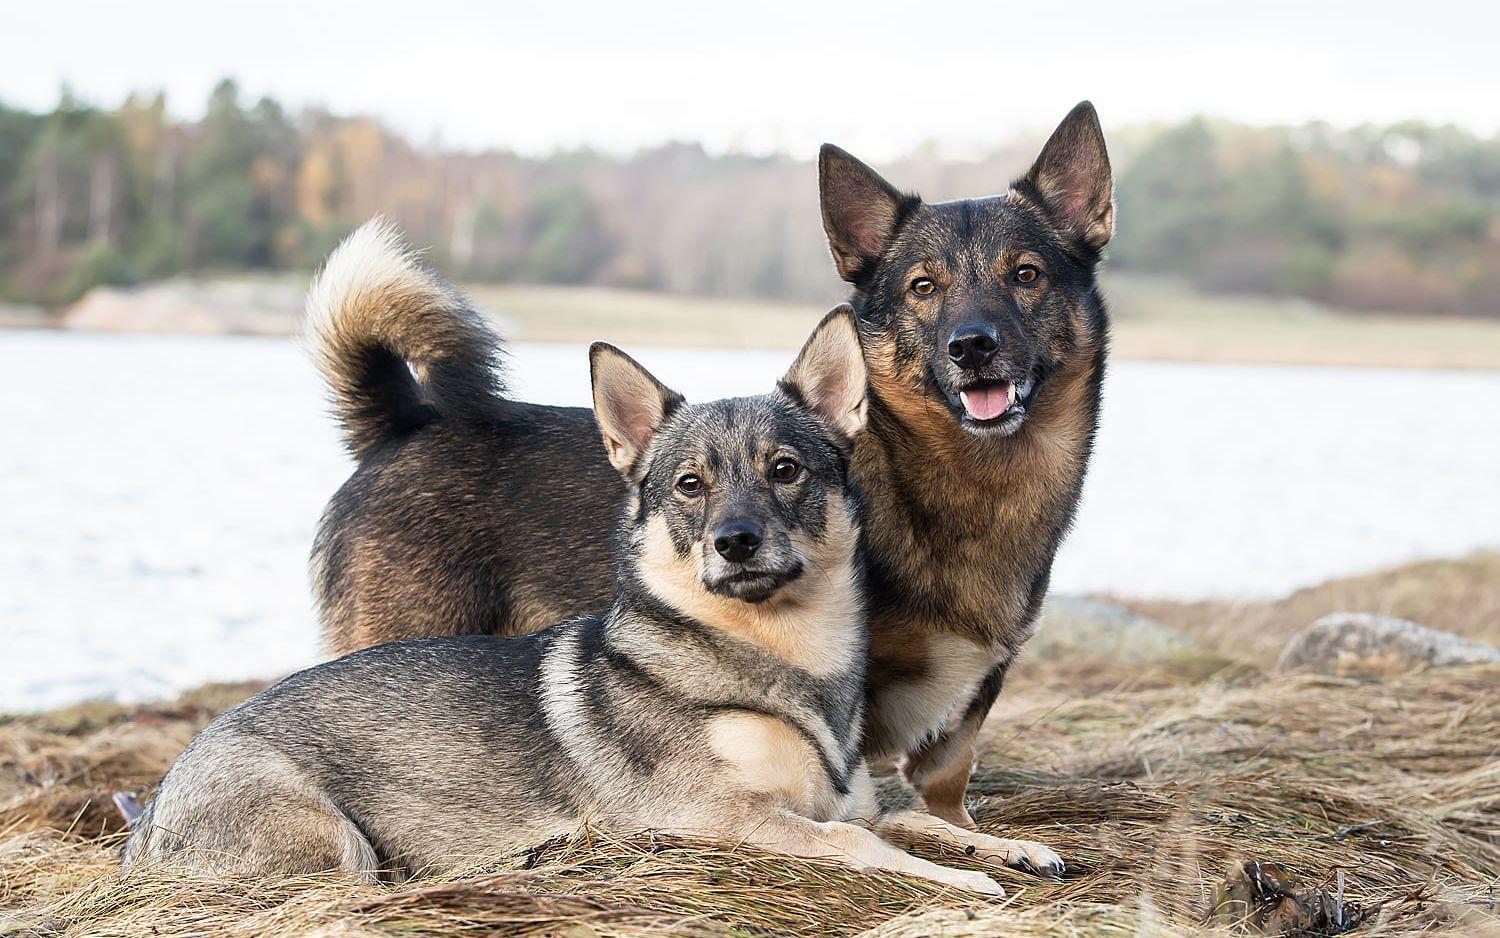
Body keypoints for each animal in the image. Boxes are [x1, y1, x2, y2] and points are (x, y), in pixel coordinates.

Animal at [304, 102, 1110, 834]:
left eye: (1027, 274)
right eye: (923, 286)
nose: (972, 346)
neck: (961, 481)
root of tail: (404, 423)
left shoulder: (974, 693)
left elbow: (945, 783)